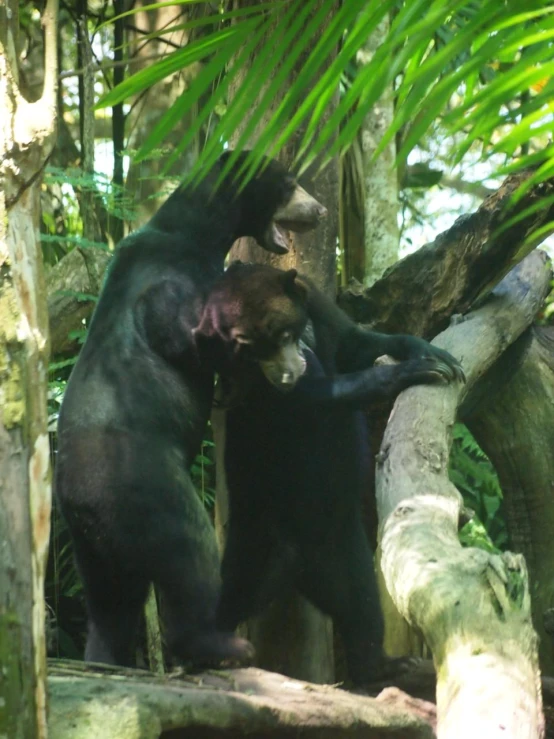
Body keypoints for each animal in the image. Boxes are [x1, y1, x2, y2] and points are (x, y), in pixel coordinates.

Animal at [54, 153, 324, 668]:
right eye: (287, 185)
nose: (318, 210)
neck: (194, 233)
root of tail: (77, 499)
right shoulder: (169, 281)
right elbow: (179, 334)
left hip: (92, 550)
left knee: (110, 609)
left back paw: (106, 655)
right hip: (146, 488)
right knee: (189, 558)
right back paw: (223, 645)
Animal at [194, 262, 462, 688]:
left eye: (284, 334)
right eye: (249, 349)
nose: (286, 374)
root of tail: (304, 562)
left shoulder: (319, 307)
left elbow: (355, 342)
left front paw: (429, 352)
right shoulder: (255, 385)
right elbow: (316, 394)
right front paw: (415, 369)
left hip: (346, 550)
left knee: (361, 606)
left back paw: (384, 668)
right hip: (259, 532)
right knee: (237, 586)